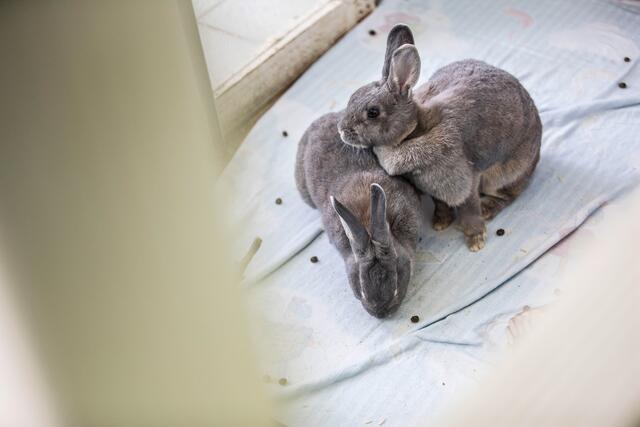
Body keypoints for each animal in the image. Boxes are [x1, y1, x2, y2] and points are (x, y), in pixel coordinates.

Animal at [338, 24, 541, 251]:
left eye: (373, 112)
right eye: (352, 97)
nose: (341, 130)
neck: (413, 131)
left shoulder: (465, 182)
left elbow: (469, 209)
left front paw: (475, 240)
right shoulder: (433, 190)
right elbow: (441, 204)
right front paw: (441, 223)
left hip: (501, 175)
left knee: (509, 195)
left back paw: (488, 209)